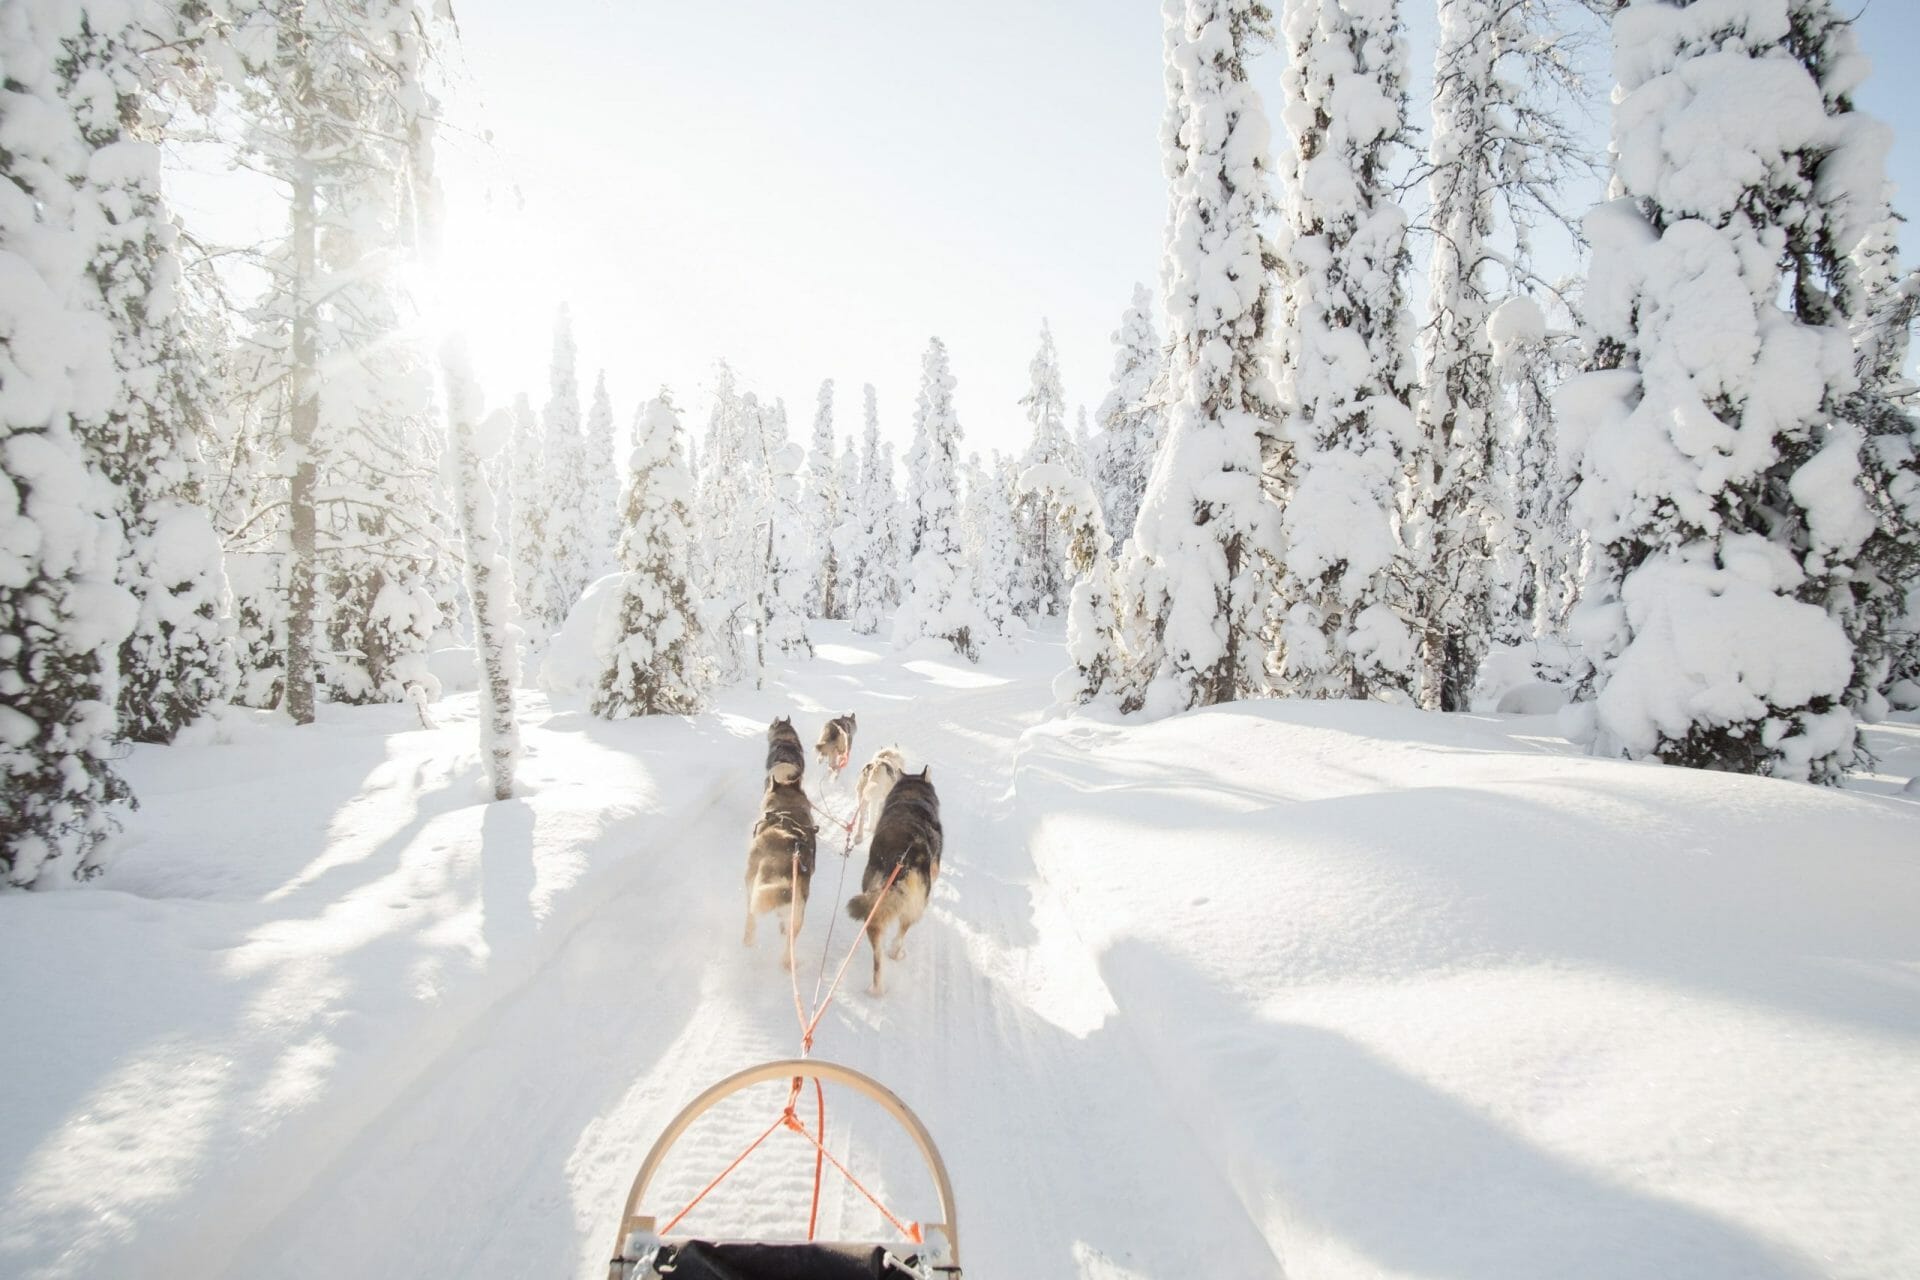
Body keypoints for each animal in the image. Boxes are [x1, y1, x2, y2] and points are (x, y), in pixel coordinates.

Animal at [844, 767, 940, 997]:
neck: (911, 795)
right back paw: (897, 952)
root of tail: (902, 860)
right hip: (912, 908)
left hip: (873, 909)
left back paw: (876, 989)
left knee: (878, 960)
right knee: (900, 934)